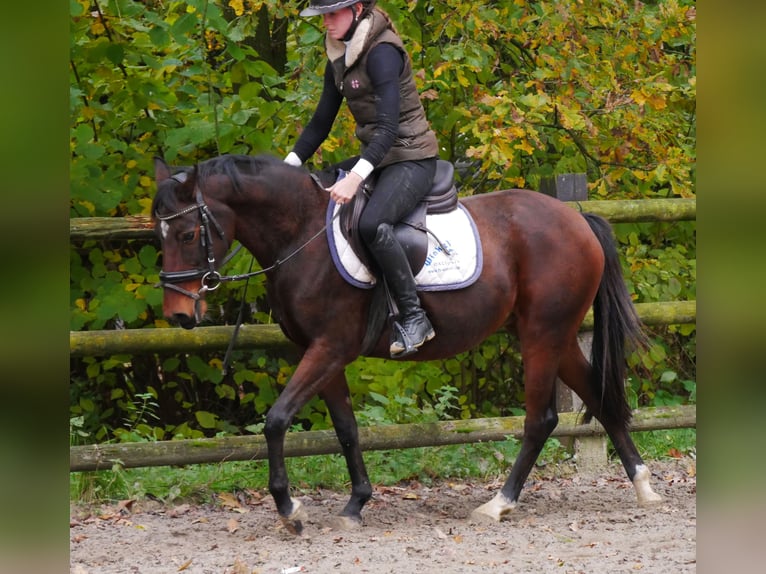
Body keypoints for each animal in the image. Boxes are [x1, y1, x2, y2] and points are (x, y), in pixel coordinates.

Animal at [153, 154, 664, 536]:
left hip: (543, 334)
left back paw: (498, 504)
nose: (178, 315)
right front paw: (355, 504)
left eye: (187, 234)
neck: (301, 235)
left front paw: (289, 510)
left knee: (541, 419)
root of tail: (576, 220)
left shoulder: (330, 348)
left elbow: (277, 420)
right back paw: (643, 487)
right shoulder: (322, 354)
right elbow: (346, 429)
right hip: (554, 335)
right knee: (601, 400)